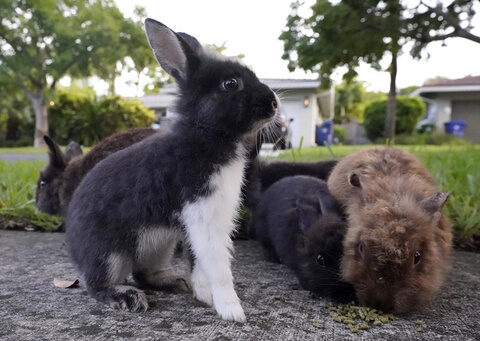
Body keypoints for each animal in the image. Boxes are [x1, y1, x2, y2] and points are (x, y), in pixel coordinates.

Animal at [65, 18, 280, 322]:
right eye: (230, 83)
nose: (274, 104)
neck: (206, 134)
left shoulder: (198, 222)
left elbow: (199, 262)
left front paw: (204, 296)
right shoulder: (204, 215)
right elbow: (218, 267)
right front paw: (232, 311)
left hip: (159, 245)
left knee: (143, 274)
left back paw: (175, 282)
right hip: (109, 254)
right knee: (95, 284)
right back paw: (127, 297)